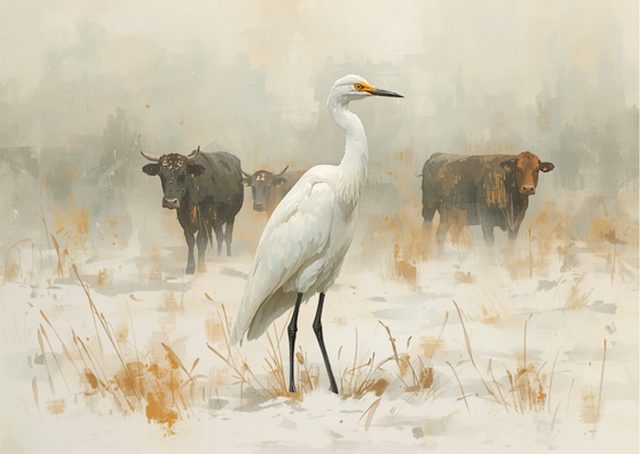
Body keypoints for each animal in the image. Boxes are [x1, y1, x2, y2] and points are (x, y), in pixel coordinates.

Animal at [421, 151, 554, 247]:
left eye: (536, 170)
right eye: (518, 169)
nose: (528, 188)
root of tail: (436, 156)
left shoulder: (516, 222)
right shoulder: (486, 220)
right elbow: (490, 243)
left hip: (450, 214)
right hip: (429, 208)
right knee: (431, 231)